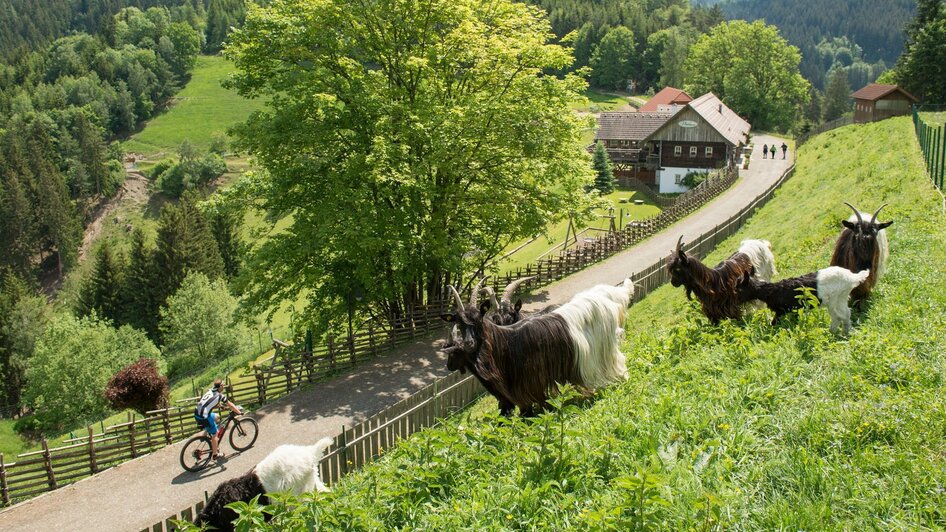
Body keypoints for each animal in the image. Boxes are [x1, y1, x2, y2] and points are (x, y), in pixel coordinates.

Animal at [436, 278, 636, 416]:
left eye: (478, 319)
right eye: (459, 323)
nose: (469, 343)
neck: (504, 343)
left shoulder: (528, 385)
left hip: (605, 350)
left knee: (618, 362)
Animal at [736, 268, 872, 334]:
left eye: (738, 289)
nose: (736, 304)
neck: (772, 291)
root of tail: (852, 277)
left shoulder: (788, 310)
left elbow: (775, 323)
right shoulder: (787, 311)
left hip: (836, 298)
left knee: (842, 315)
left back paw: (841, 332)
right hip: (837, 300)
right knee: (841, 315)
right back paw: (837, 331)